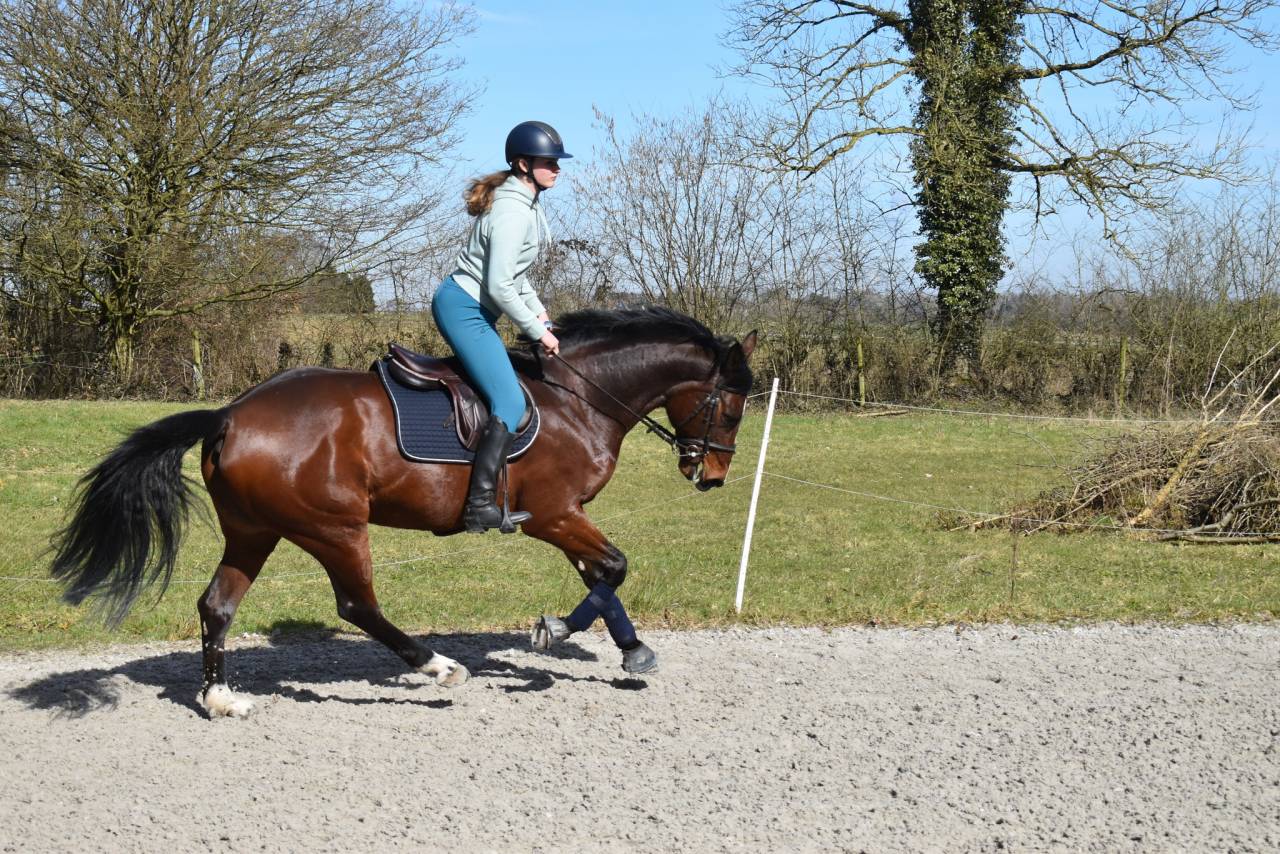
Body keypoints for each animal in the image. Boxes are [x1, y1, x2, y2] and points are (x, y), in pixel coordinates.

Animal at [50, 306, 757, 717]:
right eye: (730, 406)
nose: (712, 477)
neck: (578, 397)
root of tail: (228, 414)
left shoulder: (568, 518)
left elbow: (602, 576)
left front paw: (630, 649)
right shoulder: (556, 515)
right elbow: (613, 567)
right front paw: (555, 632)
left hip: (256, 530)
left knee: (217, 605)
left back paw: (221, 698)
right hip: (335, 528)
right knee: (357, 605)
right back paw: (437, 667)